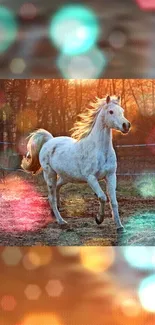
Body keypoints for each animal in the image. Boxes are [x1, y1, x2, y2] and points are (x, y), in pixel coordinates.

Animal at [21, 95, 131, 229]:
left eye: (122, 111)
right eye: (111, 111)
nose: (126, 125)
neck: (99, 150)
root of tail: (49, 141)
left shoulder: (110, 176)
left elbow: (114, 201)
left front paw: (119, 226)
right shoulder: (91, 178)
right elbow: (102, 197)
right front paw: (99, 219)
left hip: (66, 176)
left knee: (57, 188)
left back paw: (56, 210)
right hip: (50, 175)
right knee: (51, 197)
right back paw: (61, 221)